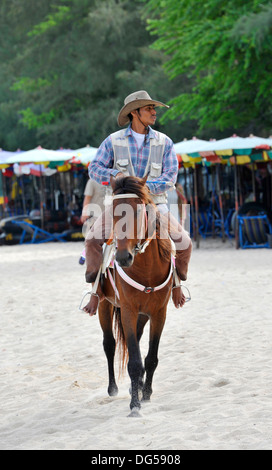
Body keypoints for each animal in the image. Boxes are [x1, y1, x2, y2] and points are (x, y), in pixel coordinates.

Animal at [87, 175, 173, 414]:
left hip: (142, 315)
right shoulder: (127, 310)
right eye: (113, 213)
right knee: (110, 344)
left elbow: (150, 358)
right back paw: (113, 388)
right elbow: (133, 361)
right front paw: (135, 405)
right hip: (105, 305)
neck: (147, 270)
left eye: (138, 211)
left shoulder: (159, 313)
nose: (123, 257)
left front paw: (146, 393)